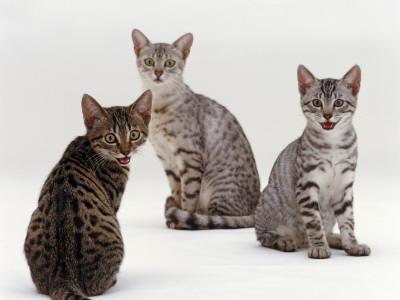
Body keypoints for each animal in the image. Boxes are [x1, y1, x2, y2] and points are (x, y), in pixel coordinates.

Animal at [23, 90, 152, 298]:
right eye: (110, 138)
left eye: (134, 134)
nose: (126, 151)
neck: (87, 145)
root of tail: (64, 277)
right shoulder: (113, 202)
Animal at [131, 28, 260, 230]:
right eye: (149, 61)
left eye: (169, 63)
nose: (158, 72)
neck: (159, 107)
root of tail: (256, 210)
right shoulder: (167, 161)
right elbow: (177, 192)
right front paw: (174, 216)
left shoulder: (190, 157)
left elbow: (189, 196)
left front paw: (182, 218)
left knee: (221, 218)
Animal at [255, 65, 370, 258]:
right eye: (317, 103)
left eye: (338, 103)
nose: (327, 115)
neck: (333, 144)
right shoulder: (306, 185)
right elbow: (314, 223)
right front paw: (319, 247)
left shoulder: (344, 187)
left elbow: (348, 221)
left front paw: (352, 245)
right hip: (269, 203)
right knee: (263, 235)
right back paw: (285, 240)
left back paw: (335, 239)